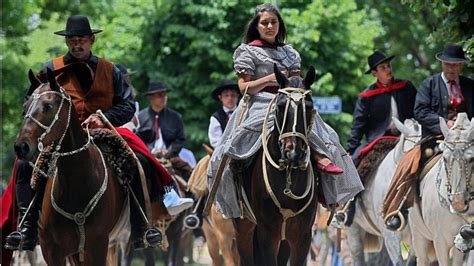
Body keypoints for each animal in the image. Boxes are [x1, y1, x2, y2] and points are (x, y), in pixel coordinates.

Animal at [233, 65, 318, 266]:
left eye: (309, 107)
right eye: (280, 106)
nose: (293, 153)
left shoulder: (302, 237)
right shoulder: (267, 235)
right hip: (244, 228)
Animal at [410, 112, 472, 266]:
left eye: (471, 159)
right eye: (444, 159)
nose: (458, 203)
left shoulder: (460, 242)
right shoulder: (440, 241)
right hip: (419, 235)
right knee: (422, 259)